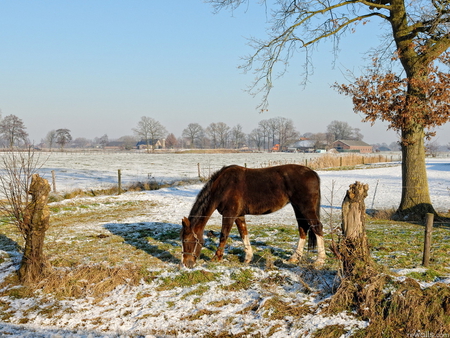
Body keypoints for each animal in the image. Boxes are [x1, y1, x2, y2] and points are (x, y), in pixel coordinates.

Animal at [181, 165, 326, 268]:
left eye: (186, 240)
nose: (186, 263)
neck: (223, 187)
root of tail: (313, 173)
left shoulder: (229, 215)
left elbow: (223, 236)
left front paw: (217, 258)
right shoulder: (239, 216)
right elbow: (243, 234)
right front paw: (248, 258)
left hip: (305, 208)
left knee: (317, 227)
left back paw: (320, 260)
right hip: (298, 208)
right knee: (303, 229)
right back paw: (294, 257)